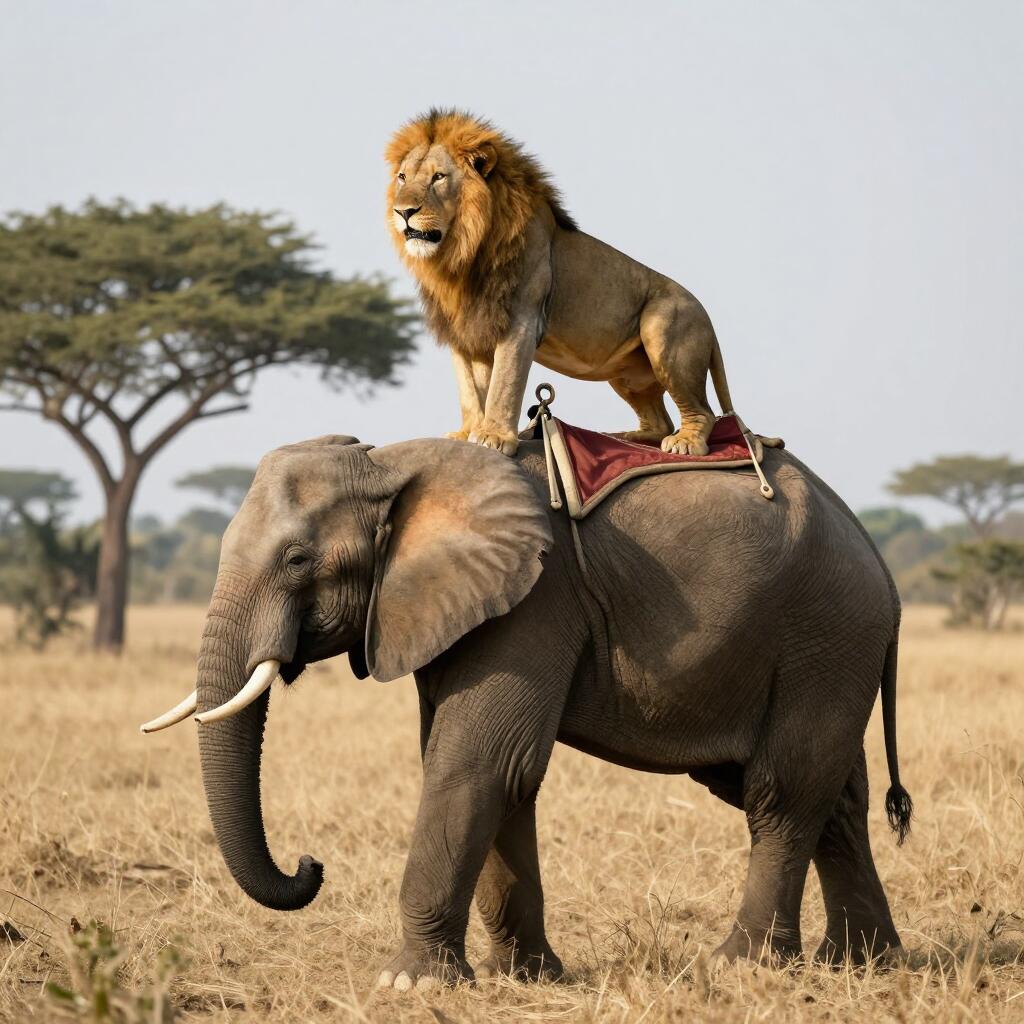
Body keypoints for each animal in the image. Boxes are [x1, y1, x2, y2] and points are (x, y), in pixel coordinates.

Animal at [142, 432, 913, 990]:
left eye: (298, 559)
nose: (310, 864)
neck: (395, 460)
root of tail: (880, 562)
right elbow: (500, 775)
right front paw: (527, 977)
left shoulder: (535, 600)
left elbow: (478, 763)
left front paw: (411, 985)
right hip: (813, 645)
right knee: (829, 796)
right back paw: (864, 964)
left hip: (826, 629)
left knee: (781, 791)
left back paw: (742, 965)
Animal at [386, 109, 735, 457]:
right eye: (402, 177)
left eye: (438, 177)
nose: (403, 212)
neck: (462, 253)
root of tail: (707, 318)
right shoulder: (464, 328)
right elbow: (470, 389)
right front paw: (466, 433)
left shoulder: (522, 319)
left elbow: (503, 384)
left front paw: (494, 437)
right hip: (628, 375)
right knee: (661, 420)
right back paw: (627, 437)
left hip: (662, 330)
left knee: (703, 412)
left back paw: (684, 442)